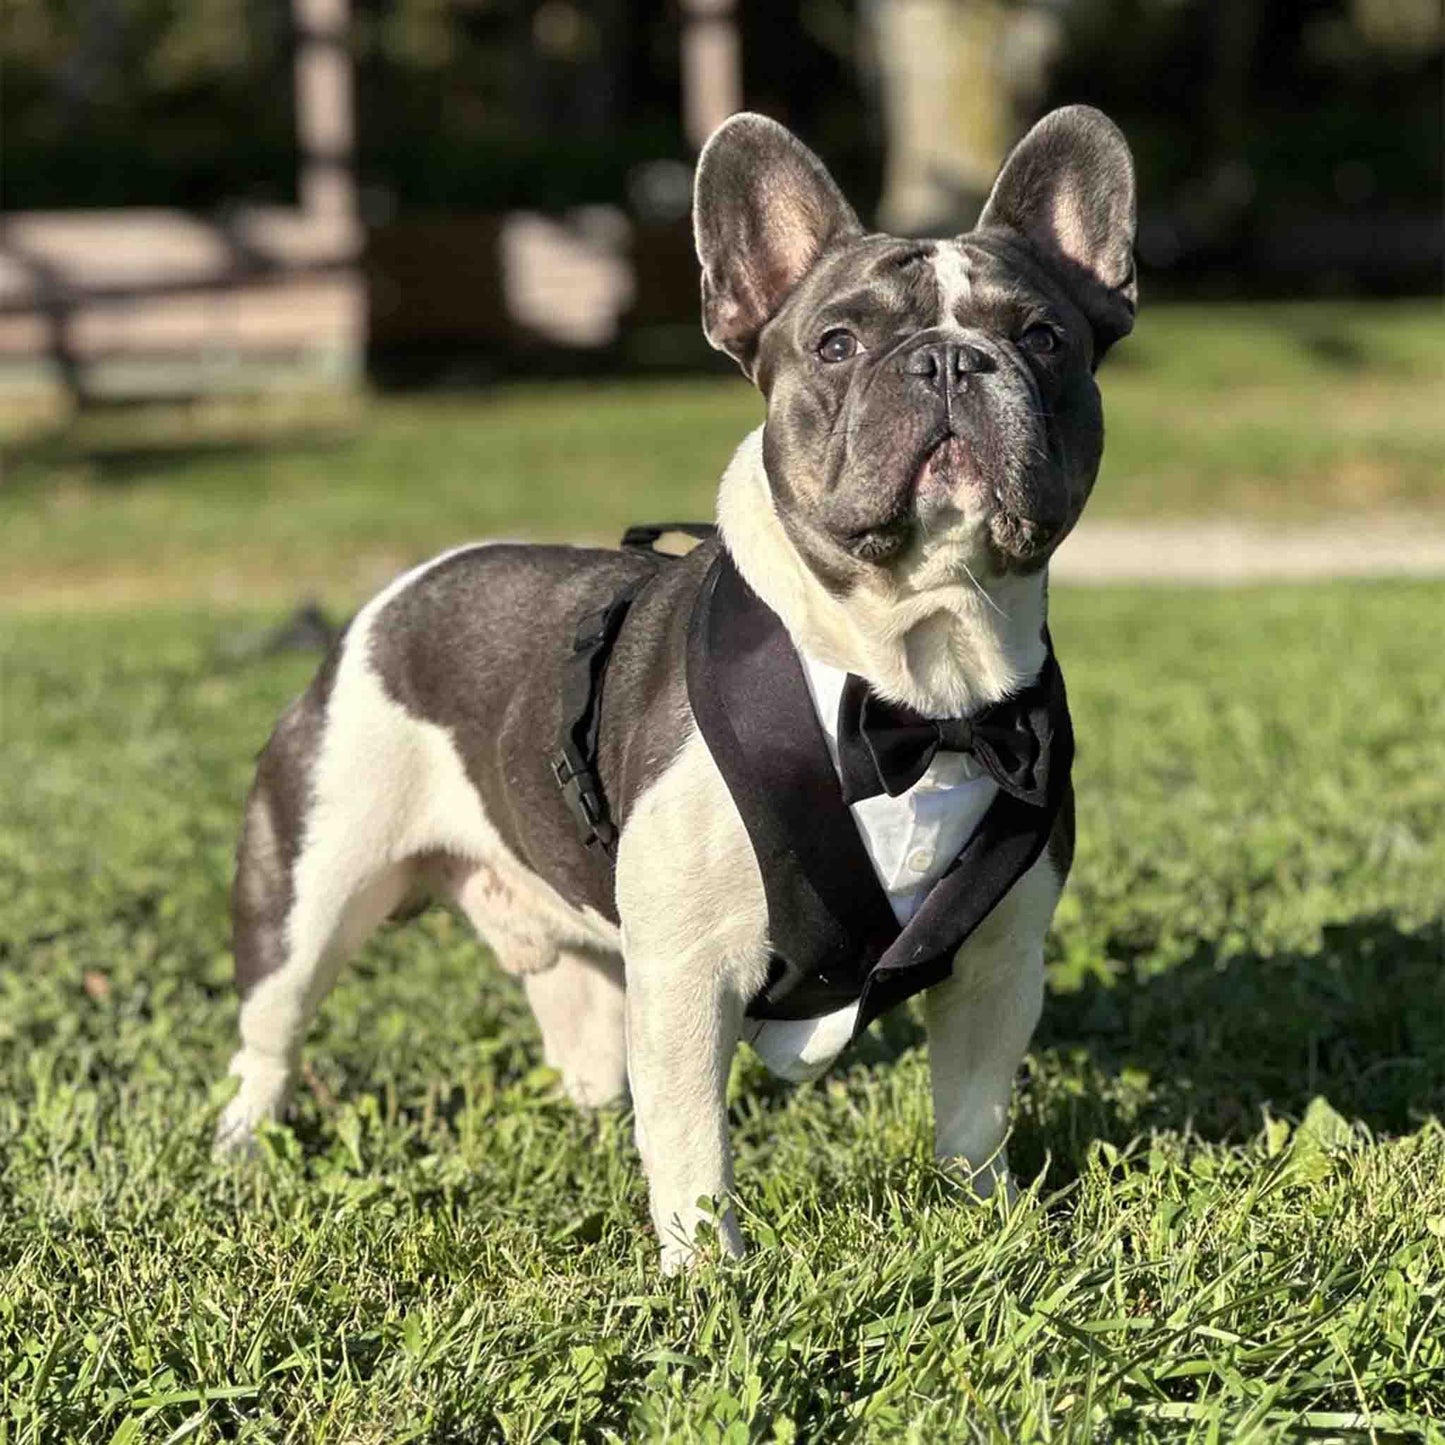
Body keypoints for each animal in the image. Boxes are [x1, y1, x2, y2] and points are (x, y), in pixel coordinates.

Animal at [216, 106, 1138, 1271]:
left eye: (1041, 338)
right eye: (838, 343)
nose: (946, 360)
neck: (910, 683)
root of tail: (383, 605)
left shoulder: (997, 961)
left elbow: (972, 1110)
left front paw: (984, 1223)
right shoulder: (691, 976)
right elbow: (695, 1139)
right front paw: (710, 1274)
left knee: (584, 1043)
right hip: (307, 889)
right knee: (273, 1027)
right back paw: (243, 1146)